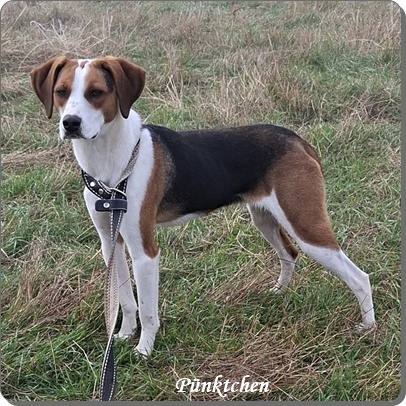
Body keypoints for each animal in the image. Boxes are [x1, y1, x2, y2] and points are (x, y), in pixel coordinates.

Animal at [30, 56, 376, 356]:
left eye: (96, 93)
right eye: (61, 92)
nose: (70, 123)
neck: (113, 161)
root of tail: (298, 140)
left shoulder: (145, 252)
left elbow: (148, 310)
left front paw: (144, 350)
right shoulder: (110, 242)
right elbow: (126, 301)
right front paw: (125, 335)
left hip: (304, 223)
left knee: (359, 277)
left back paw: (368, 328)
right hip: (264, 218)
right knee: (289, 253)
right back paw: (280, 291)